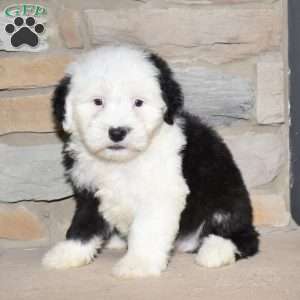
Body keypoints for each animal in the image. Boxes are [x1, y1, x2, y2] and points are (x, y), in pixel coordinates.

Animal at [41, 45, 258, 278]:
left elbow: (147, 230)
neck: (122, 162)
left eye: (138, 102)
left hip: (224, 203)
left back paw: (216, 251)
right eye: (98, 102)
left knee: (245, 237)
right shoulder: (91, 193)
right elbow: (84, 224)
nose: (117, 132)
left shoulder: (160, 193)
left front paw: (137, 264)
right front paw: (67, 253)